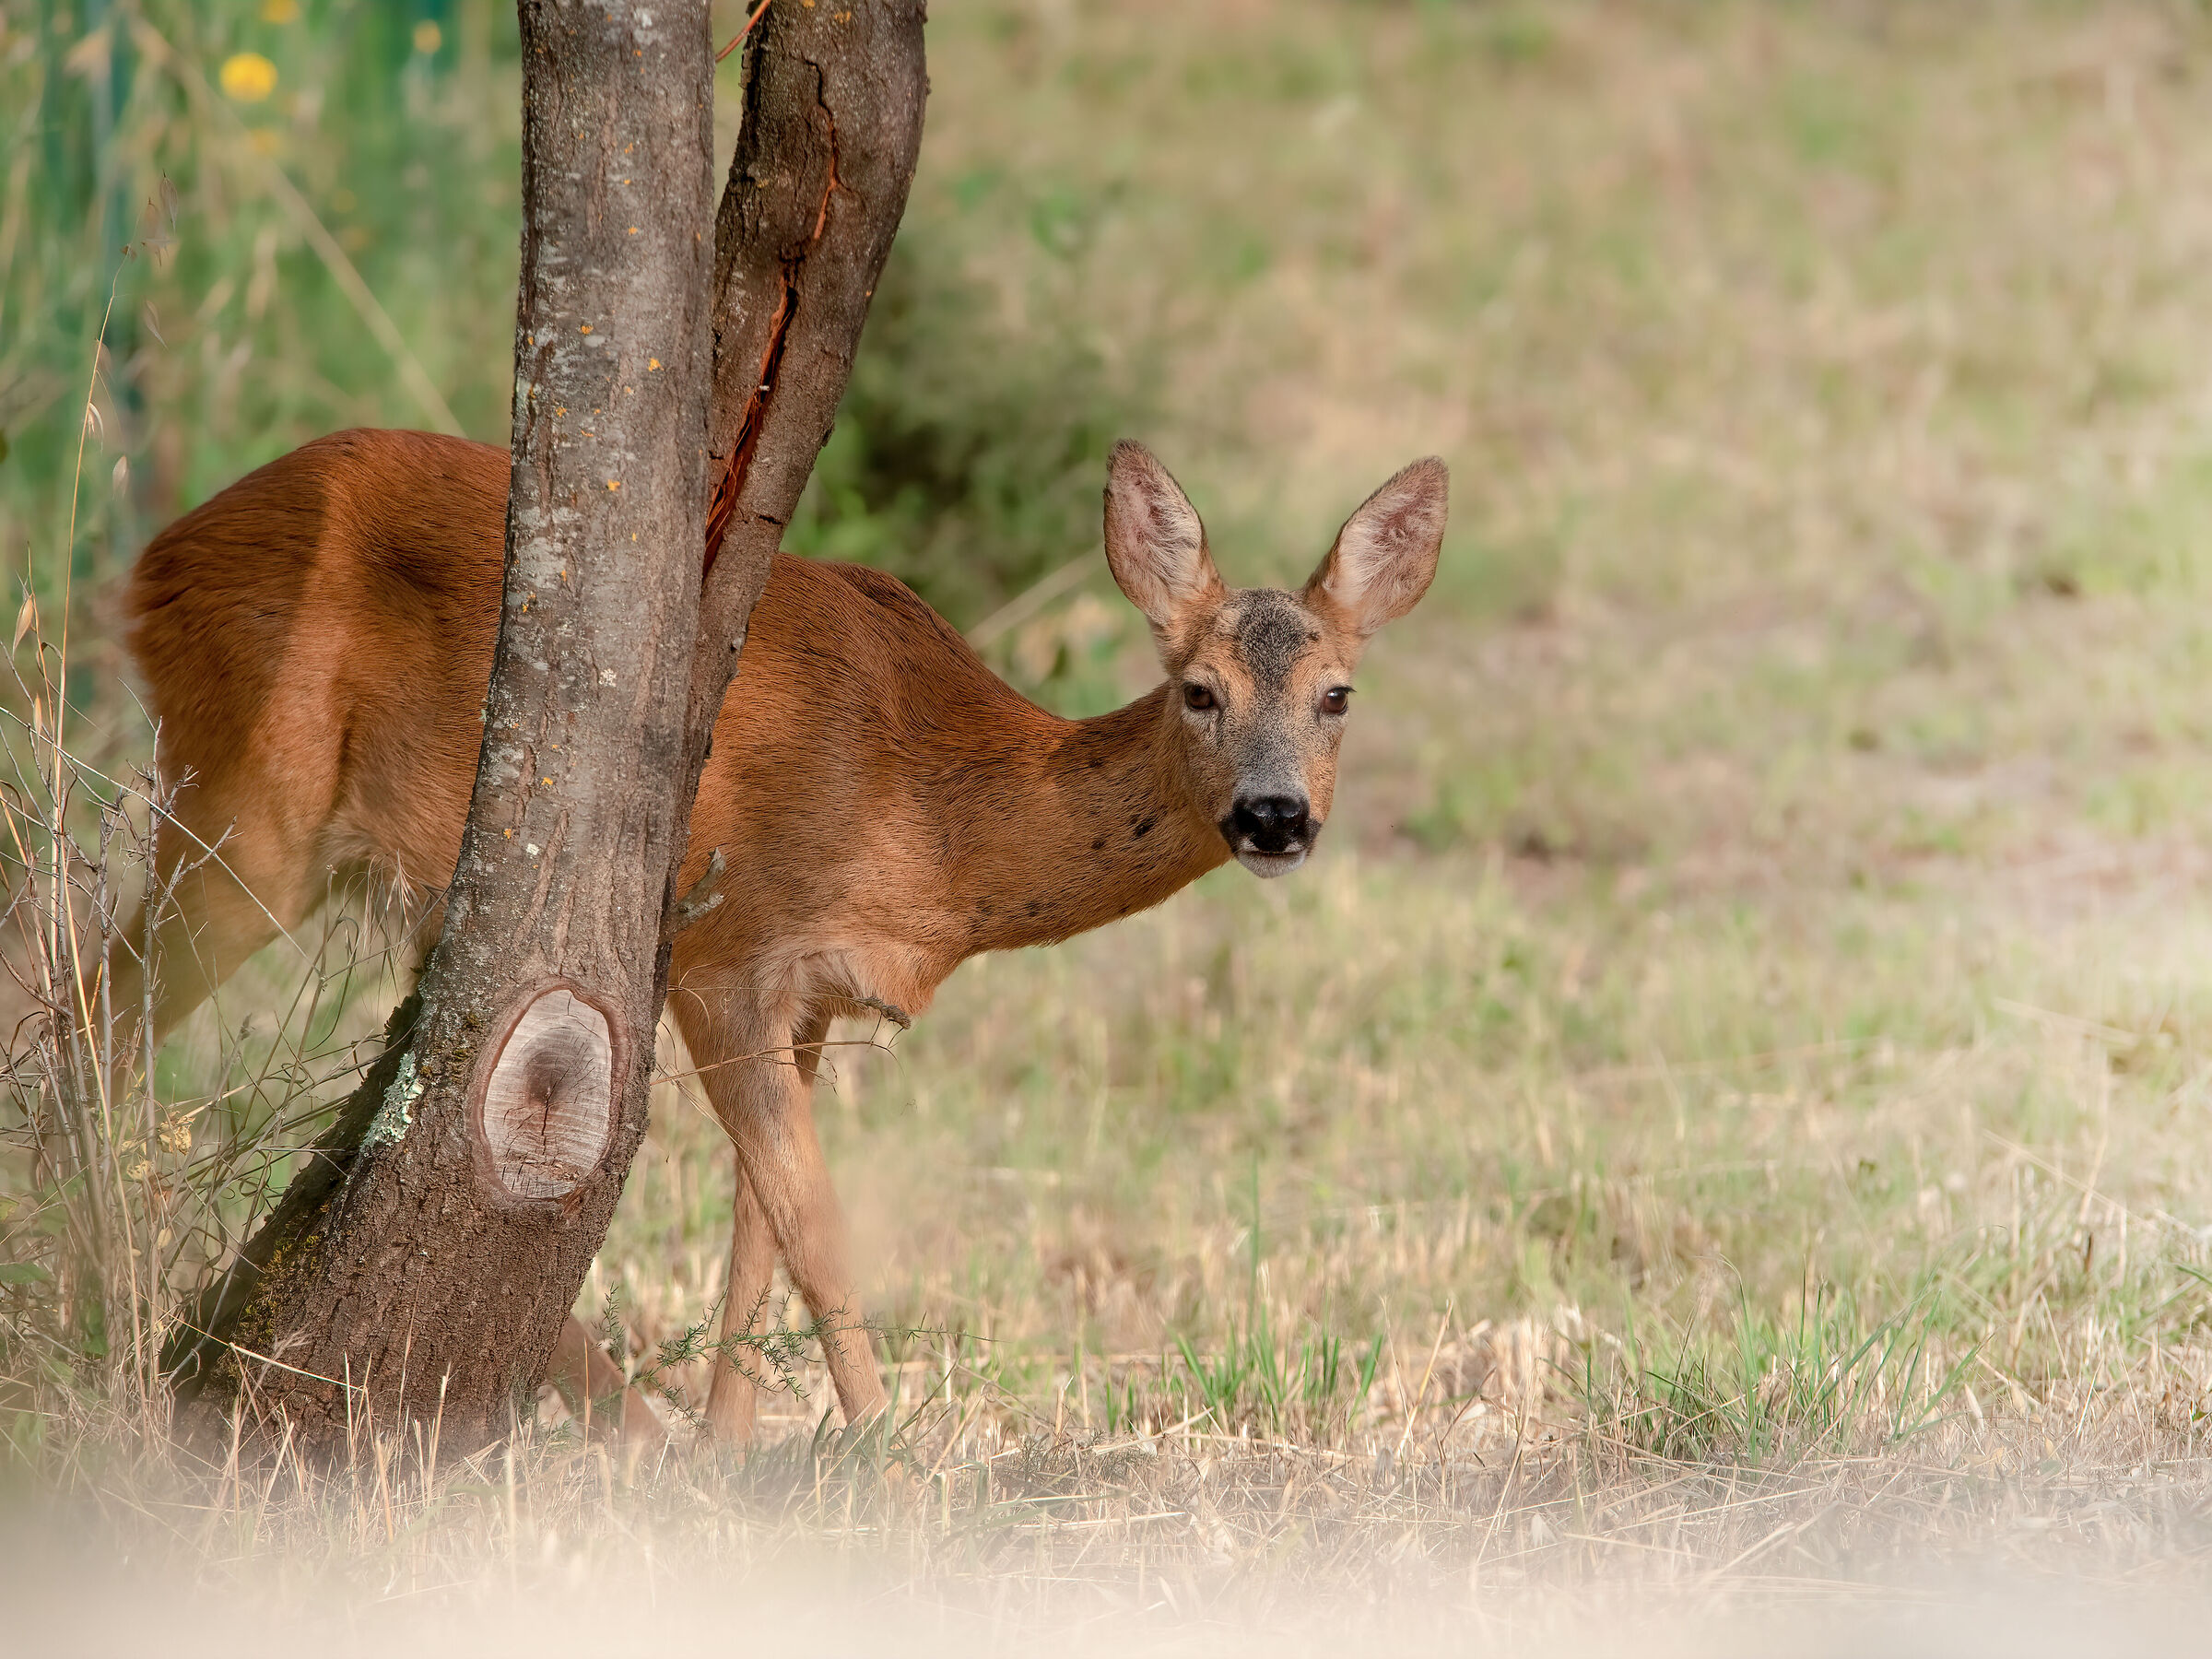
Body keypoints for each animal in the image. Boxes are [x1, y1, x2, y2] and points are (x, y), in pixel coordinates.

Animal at [104, 427, 1447, 1448]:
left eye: (1337, 695)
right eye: (1199, 692)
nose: (1274, 816)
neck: (932, 816)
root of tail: (154, 557)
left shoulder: (805, 998)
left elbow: (759, 1230)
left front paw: (729, 1451)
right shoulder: (724, 959)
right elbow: (817, 1230)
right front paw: (896, 1471)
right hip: (250, 805)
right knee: (100, 999)